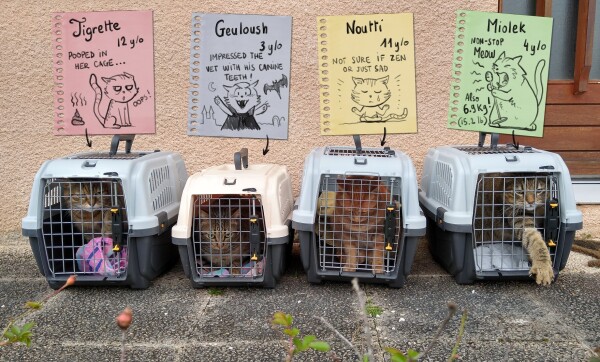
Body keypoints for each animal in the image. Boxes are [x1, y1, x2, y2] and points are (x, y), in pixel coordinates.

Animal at [23, 135, 188, 288]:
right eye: (81, 195)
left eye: (98, 193)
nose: (92, 203)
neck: (89, 216)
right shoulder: (85, 229)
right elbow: (92, 241)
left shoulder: (112, 211)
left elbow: (107, 225)